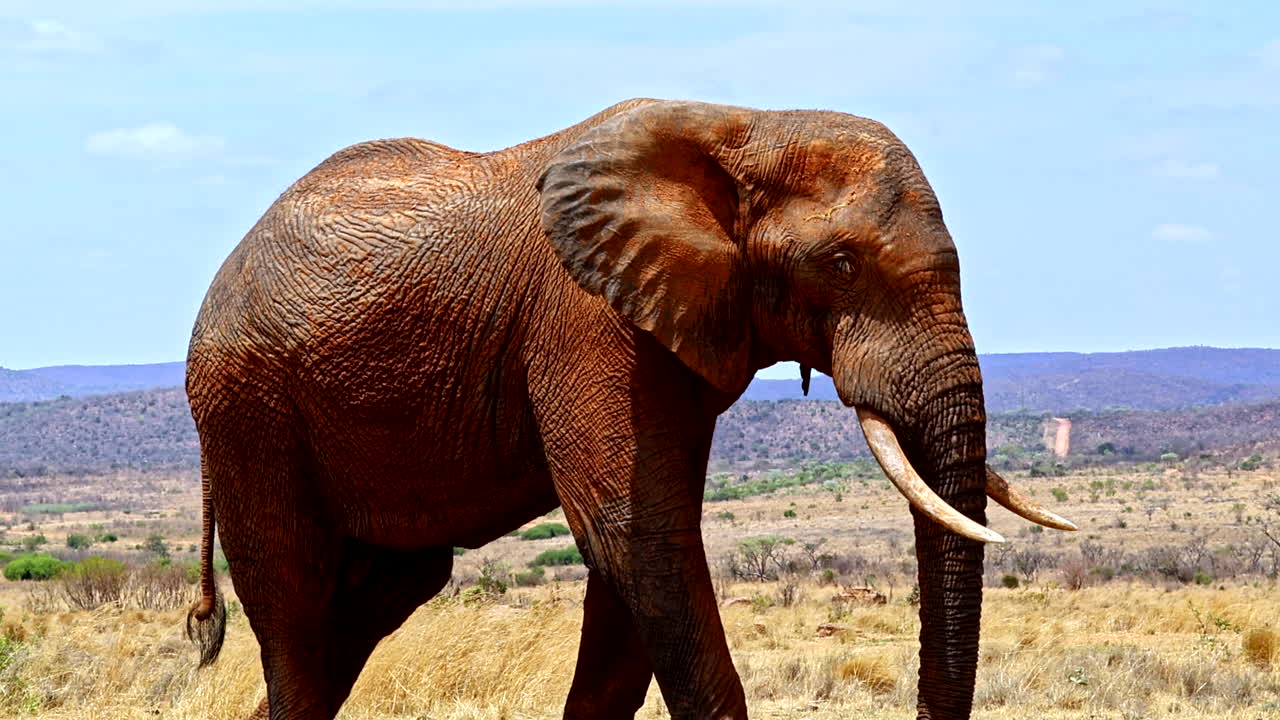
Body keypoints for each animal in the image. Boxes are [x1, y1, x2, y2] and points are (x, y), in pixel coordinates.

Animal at [184, 98, 1075, 720]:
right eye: (843, 265)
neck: (744, 126)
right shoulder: (586, 319)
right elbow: (635, 531)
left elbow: (635, 557)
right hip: (246, 405)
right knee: (297, 607)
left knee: (375, 598)